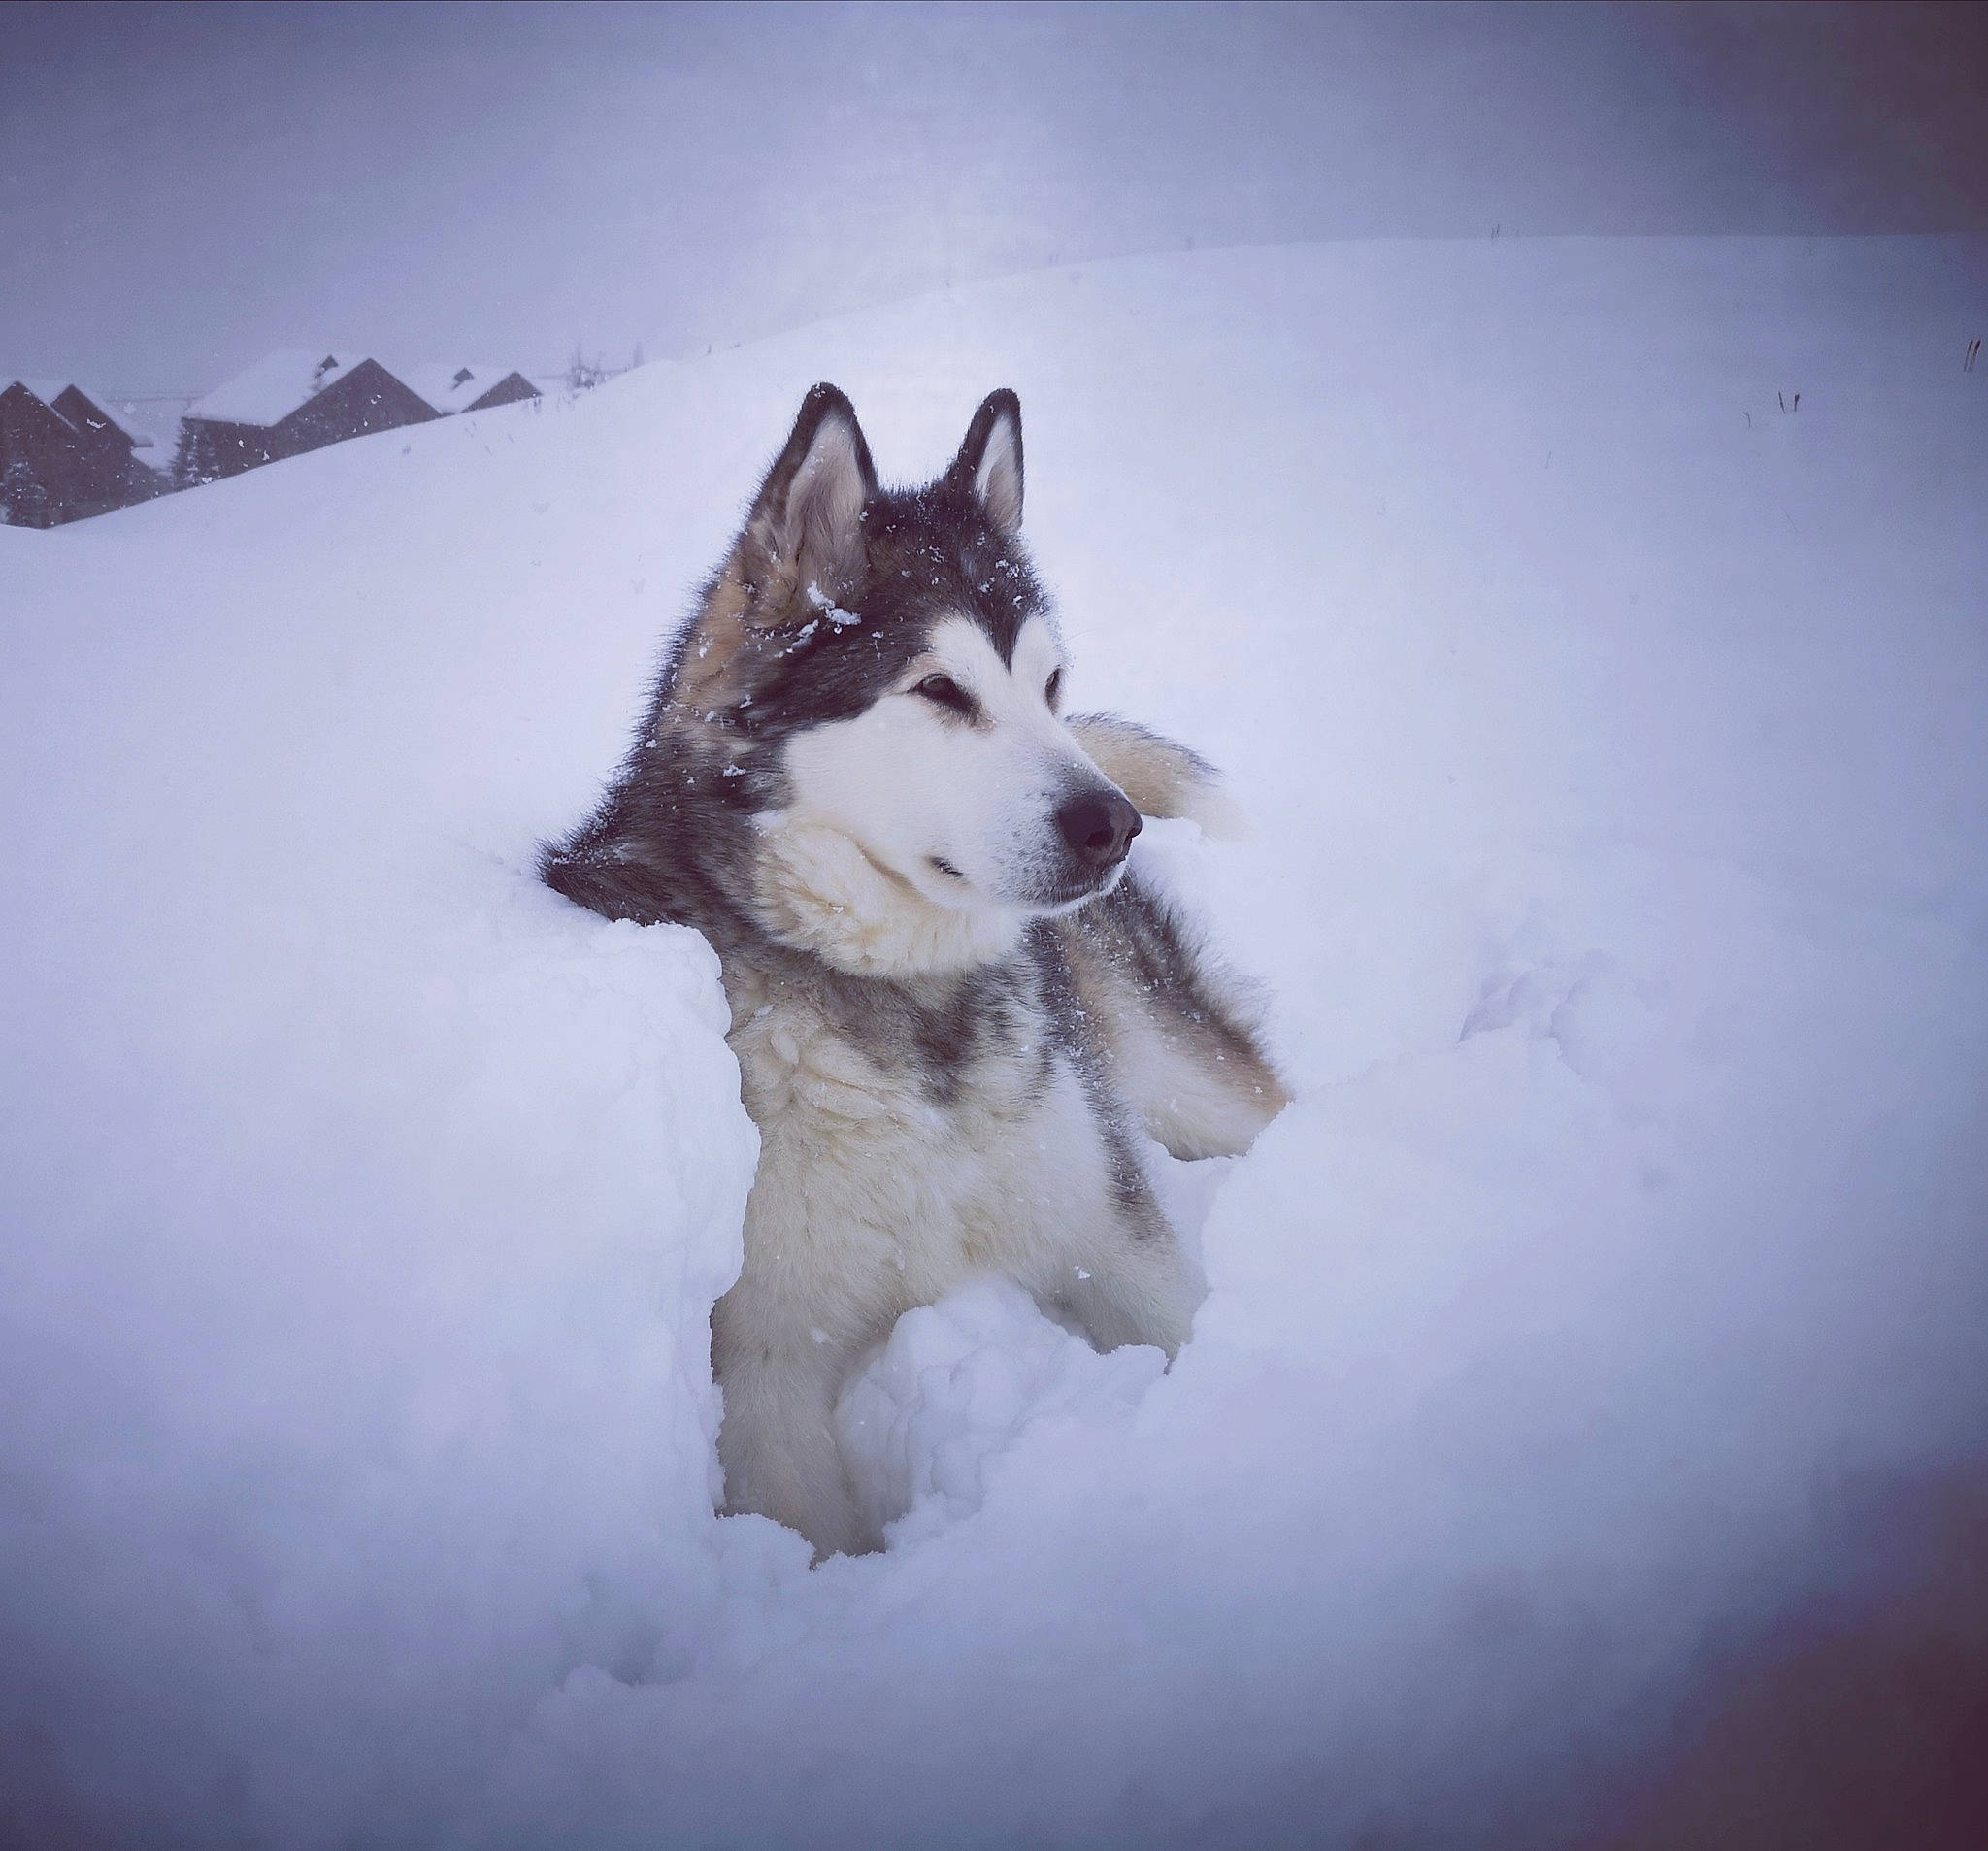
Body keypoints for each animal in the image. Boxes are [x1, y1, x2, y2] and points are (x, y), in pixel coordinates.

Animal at [543, 384, 1287, 1557]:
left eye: (1048, 684)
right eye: (940, 688)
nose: (1112, 824)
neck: (912, 1012)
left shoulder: (1110, 1237)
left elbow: (1184, 1321)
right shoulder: (765, 1369)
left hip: (1184, 1081)